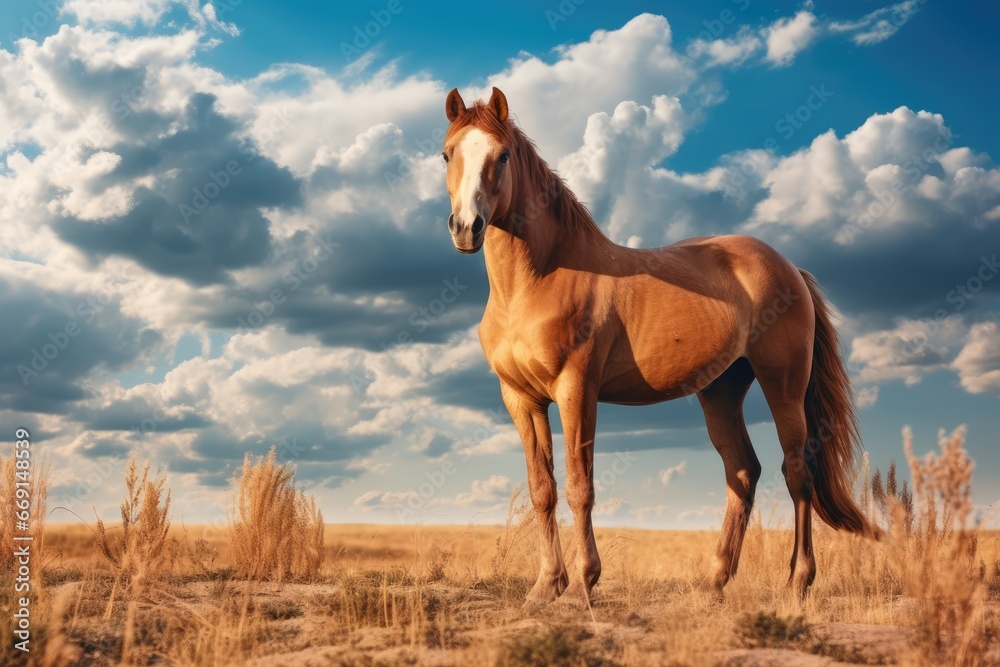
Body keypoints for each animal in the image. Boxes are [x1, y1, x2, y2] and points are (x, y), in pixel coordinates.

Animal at [438, 86, 876, 608]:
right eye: (447, 154)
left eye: (502, 155)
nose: (467, 227)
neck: (538, 282)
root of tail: (790, 268)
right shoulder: (521, 399)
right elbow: (542, 488)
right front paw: (545, 586)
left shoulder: (576, 391)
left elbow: (580, 485)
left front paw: (582, 585)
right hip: (721, 391)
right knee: (743, 473)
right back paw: (714, 582)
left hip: (783, 388)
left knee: (797, 472)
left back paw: (798, 582)